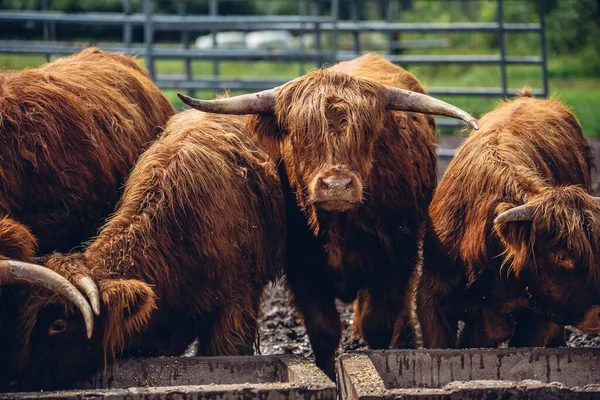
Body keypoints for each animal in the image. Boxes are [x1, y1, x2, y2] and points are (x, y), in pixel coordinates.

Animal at [176, 52, 476, 378]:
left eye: (366, 134)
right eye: (299, 133)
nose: (336, 186)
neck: (340, 228)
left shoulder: (394, 260)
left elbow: (378, 324)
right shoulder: (303, 269)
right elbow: (323, 332)